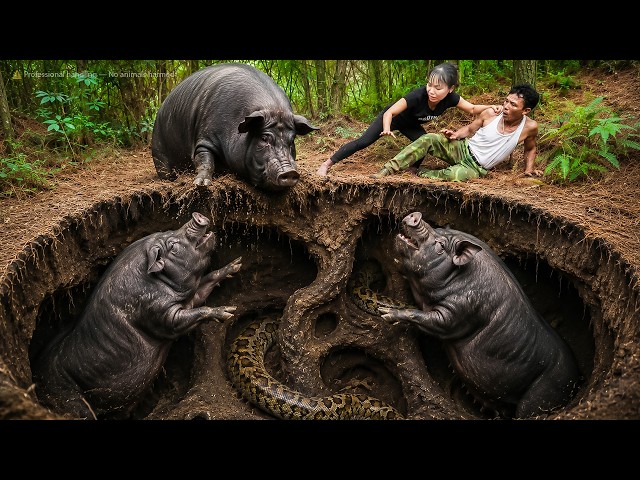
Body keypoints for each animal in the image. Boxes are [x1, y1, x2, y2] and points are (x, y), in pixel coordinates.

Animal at [32, 212, 242, 419]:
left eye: (168, 231)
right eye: (172, 246)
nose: (196, 215)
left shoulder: (190, 299)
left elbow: (207, 283)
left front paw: (236, 265)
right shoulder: (159, 314)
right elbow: (186, 318)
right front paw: (228, 312)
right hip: (68, 396)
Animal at [151, 63, 319, 191]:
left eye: (292, 140)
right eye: (264, 138)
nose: (290, 172)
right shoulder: (205, 138)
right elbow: (204, 159)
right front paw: (201, 184)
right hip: (158, 147)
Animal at [378, 211, 581, 419]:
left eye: (441, 246)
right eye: (438, 228)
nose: (416, 215)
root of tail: (576, 381)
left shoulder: (460, 310)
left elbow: (430, 320)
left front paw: (385, 312)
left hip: (542, 393)